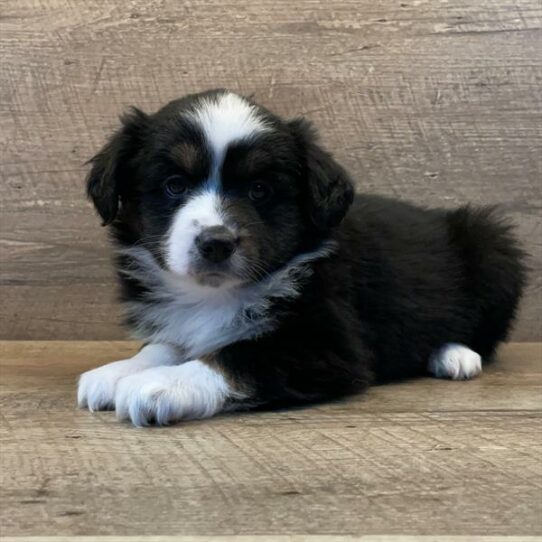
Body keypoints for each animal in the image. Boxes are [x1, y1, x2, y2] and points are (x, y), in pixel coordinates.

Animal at [78, 89, 528, 430]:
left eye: (259, 189)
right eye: (174, 185)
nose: (217, 243)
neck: (215, 295)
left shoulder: (328, 345)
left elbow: (236, 356)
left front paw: (161, 385)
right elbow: (166, 344)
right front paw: (119, 371)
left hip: (494, 248)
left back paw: (453, 355)